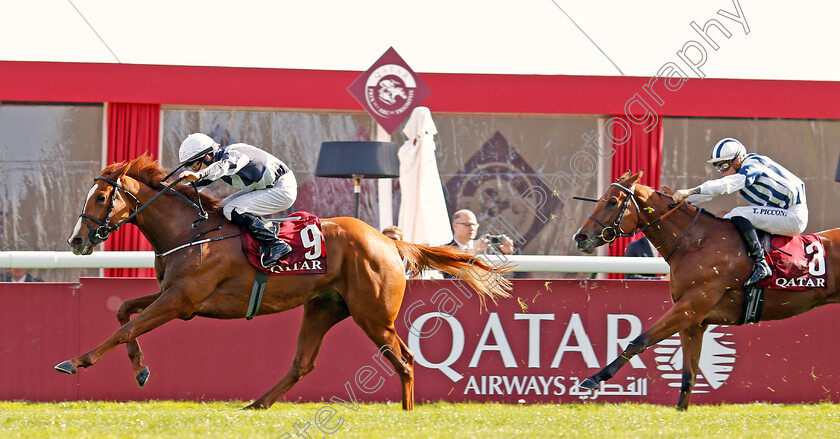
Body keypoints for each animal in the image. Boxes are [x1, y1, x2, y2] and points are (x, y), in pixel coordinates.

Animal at [57, 156, 512, 410]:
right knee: (302, 363)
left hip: (373, 315)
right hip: (324, 307)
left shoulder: (181, 300)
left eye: (101, 198)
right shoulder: (175, 296)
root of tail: (388, 241)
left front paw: (75, 361)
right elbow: (123, 312)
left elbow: (126, 327)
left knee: (404, 359)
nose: (76, 241)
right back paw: (256, 405)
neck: (190, 229)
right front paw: (140, 369)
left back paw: (406, 414)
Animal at [572, 171, 840, 410]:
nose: (580, 236)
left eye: (612, 201)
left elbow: (639, 341)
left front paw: (593, 379)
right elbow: (688, 375)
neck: (695, 242)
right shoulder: (694, 322)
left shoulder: (689, 308)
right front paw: (680, 413)